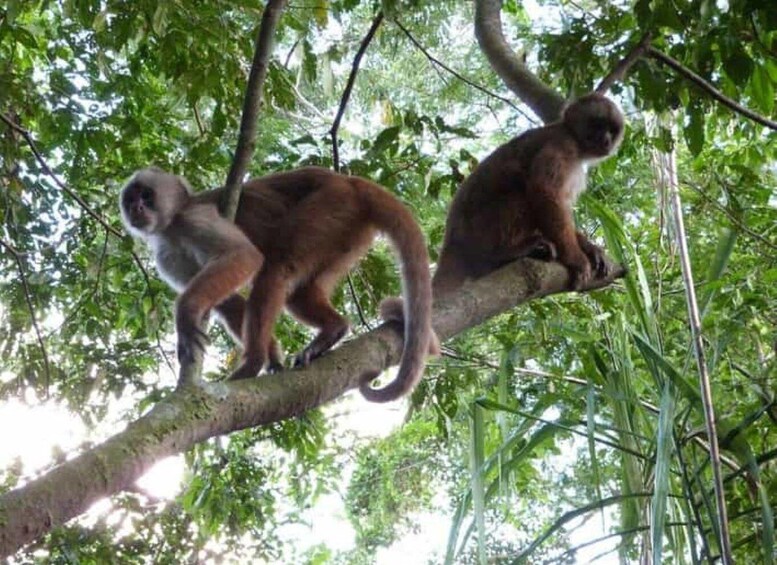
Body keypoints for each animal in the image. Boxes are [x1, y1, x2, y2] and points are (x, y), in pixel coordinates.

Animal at [120, 166, 437, 402]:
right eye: (130, 198)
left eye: (146, 195)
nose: (137, 207)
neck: (171, 225)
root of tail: (348, 181)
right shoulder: (167, 254)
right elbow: (230, 302)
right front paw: (273, 356)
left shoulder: (194, 218)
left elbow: (245, 257)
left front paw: (186, 312)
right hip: (345, 231)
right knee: (297, 292)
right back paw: (332, 329)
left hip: (331, 204)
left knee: (275, 267)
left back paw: (252, 362)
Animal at [432, 93, 624, 295]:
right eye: (597, 125)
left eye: (611, 130)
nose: (605, 139)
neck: (573, 139)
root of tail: (451, 242)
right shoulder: (562, 145)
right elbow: (544, 193)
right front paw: (576, 259)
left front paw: (589, 248)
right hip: (477, 233)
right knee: (521, 191)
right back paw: (504, 253)